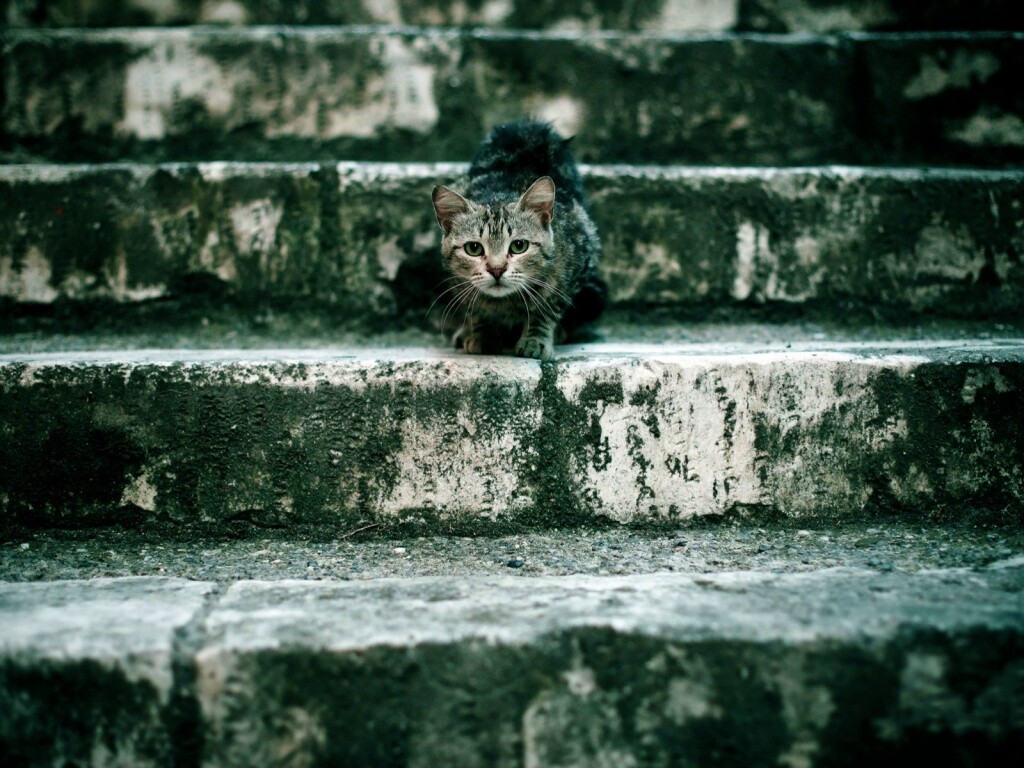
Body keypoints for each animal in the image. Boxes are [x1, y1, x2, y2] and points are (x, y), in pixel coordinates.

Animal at [431, 121, 605, 360]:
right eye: (473, 248)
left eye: (519, 246)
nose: (496, 270)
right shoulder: (457, 281)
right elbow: (476, 309)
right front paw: (484, 334)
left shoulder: (576, 263)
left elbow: (547, 307)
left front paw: (535, 339)